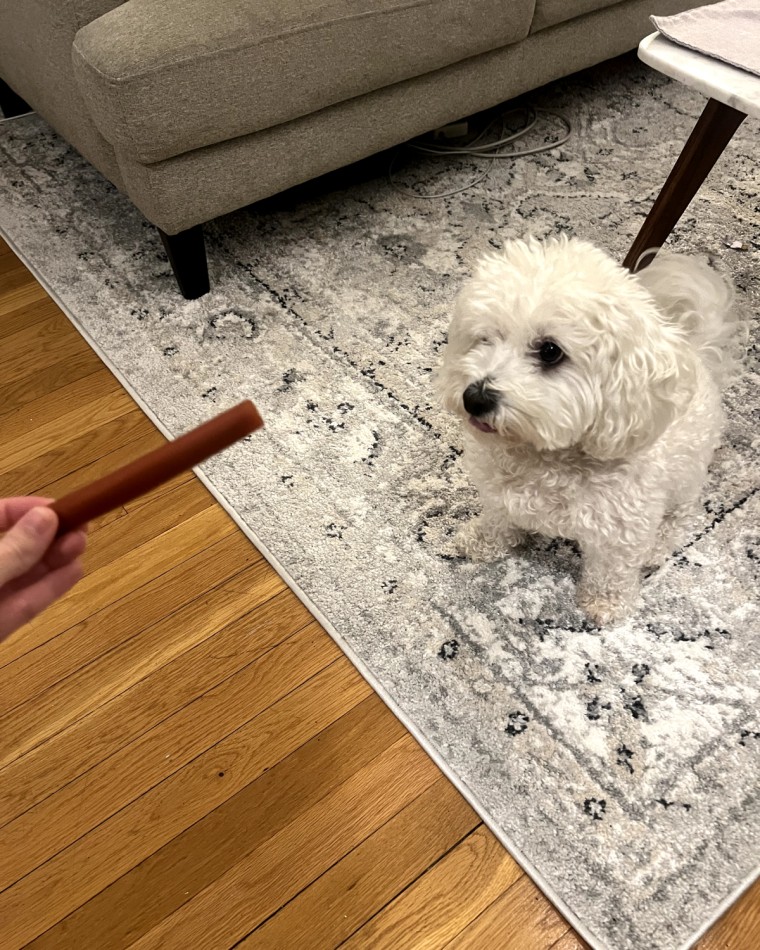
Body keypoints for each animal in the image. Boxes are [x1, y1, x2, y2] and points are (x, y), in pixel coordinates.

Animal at [436, 236, 740, 624]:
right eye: (486, 338)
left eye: (550, 351)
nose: (474, 398)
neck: (543, 459)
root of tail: (698, 353)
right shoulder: (499, 496)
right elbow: (497, 519)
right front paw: (480, 541)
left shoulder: (624, 530)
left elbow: (612, 569)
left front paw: (605, 604)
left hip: (687, 475)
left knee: (682, 515)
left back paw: (658, 546)